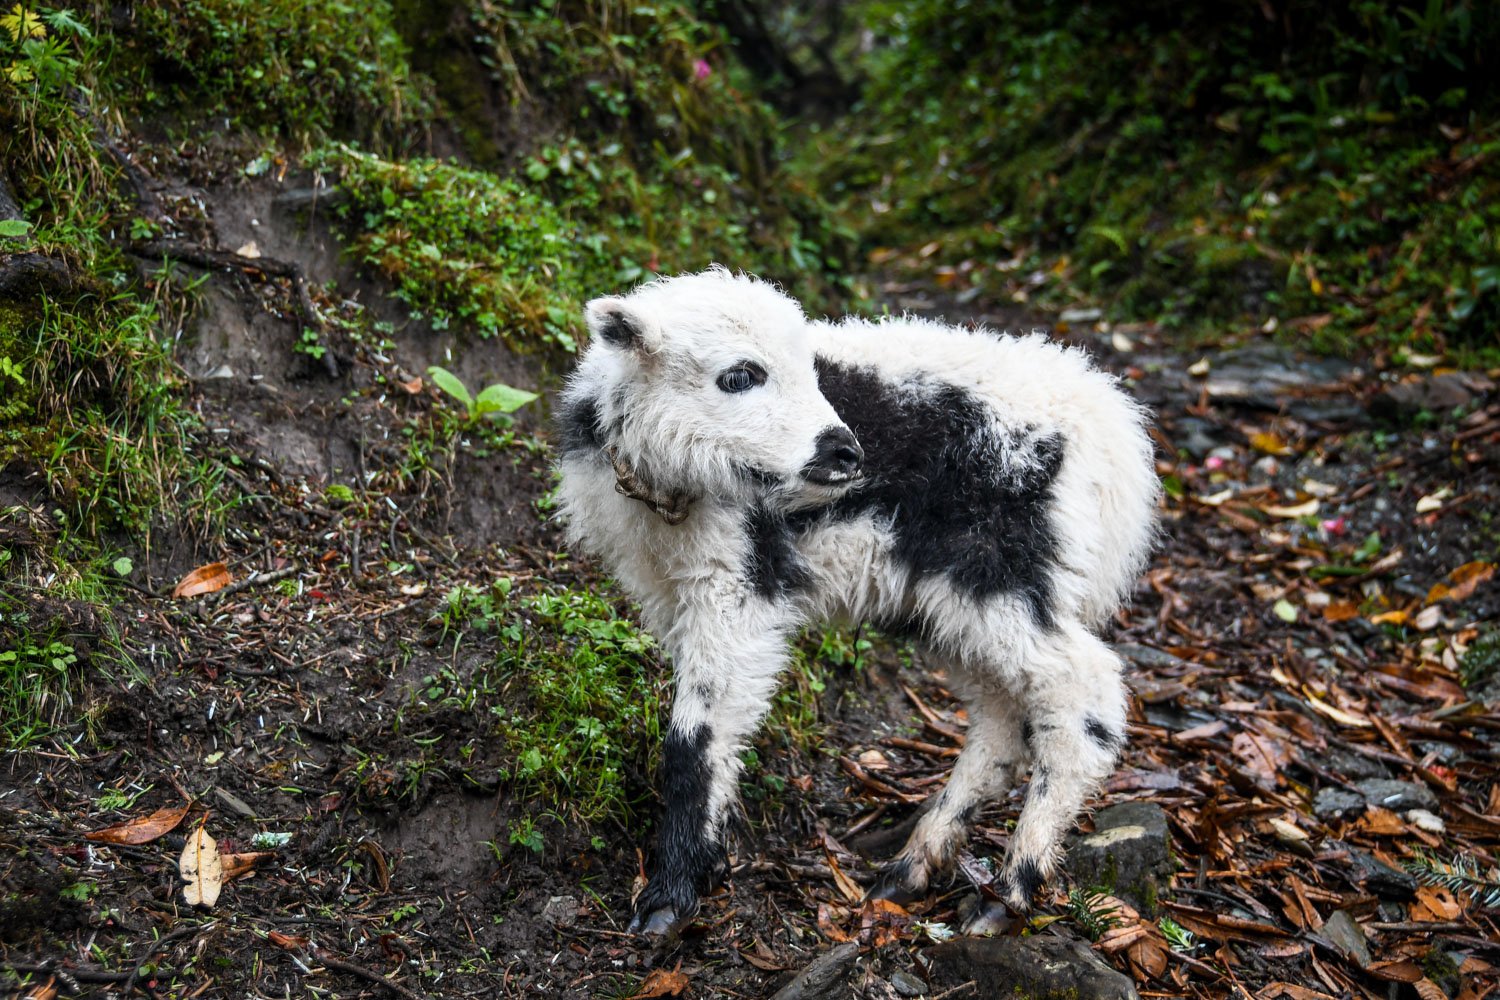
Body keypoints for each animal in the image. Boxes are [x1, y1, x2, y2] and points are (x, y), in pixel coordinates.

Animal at [558, 268, 1152, 941]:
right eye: (738, 376)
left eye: (811, 369)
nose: (844, 453)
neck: (669, 489)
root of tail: (1110, 436)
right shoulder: (669, 589)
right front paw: (700, 869)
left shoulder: (738, 584)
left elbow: (695, 739)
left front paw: (667, 899)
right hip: (950, 601)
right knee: (1001, 720)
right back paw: (914, 866)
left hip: (1004, 570)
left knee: (1083, 693)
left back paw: (1009, 890)